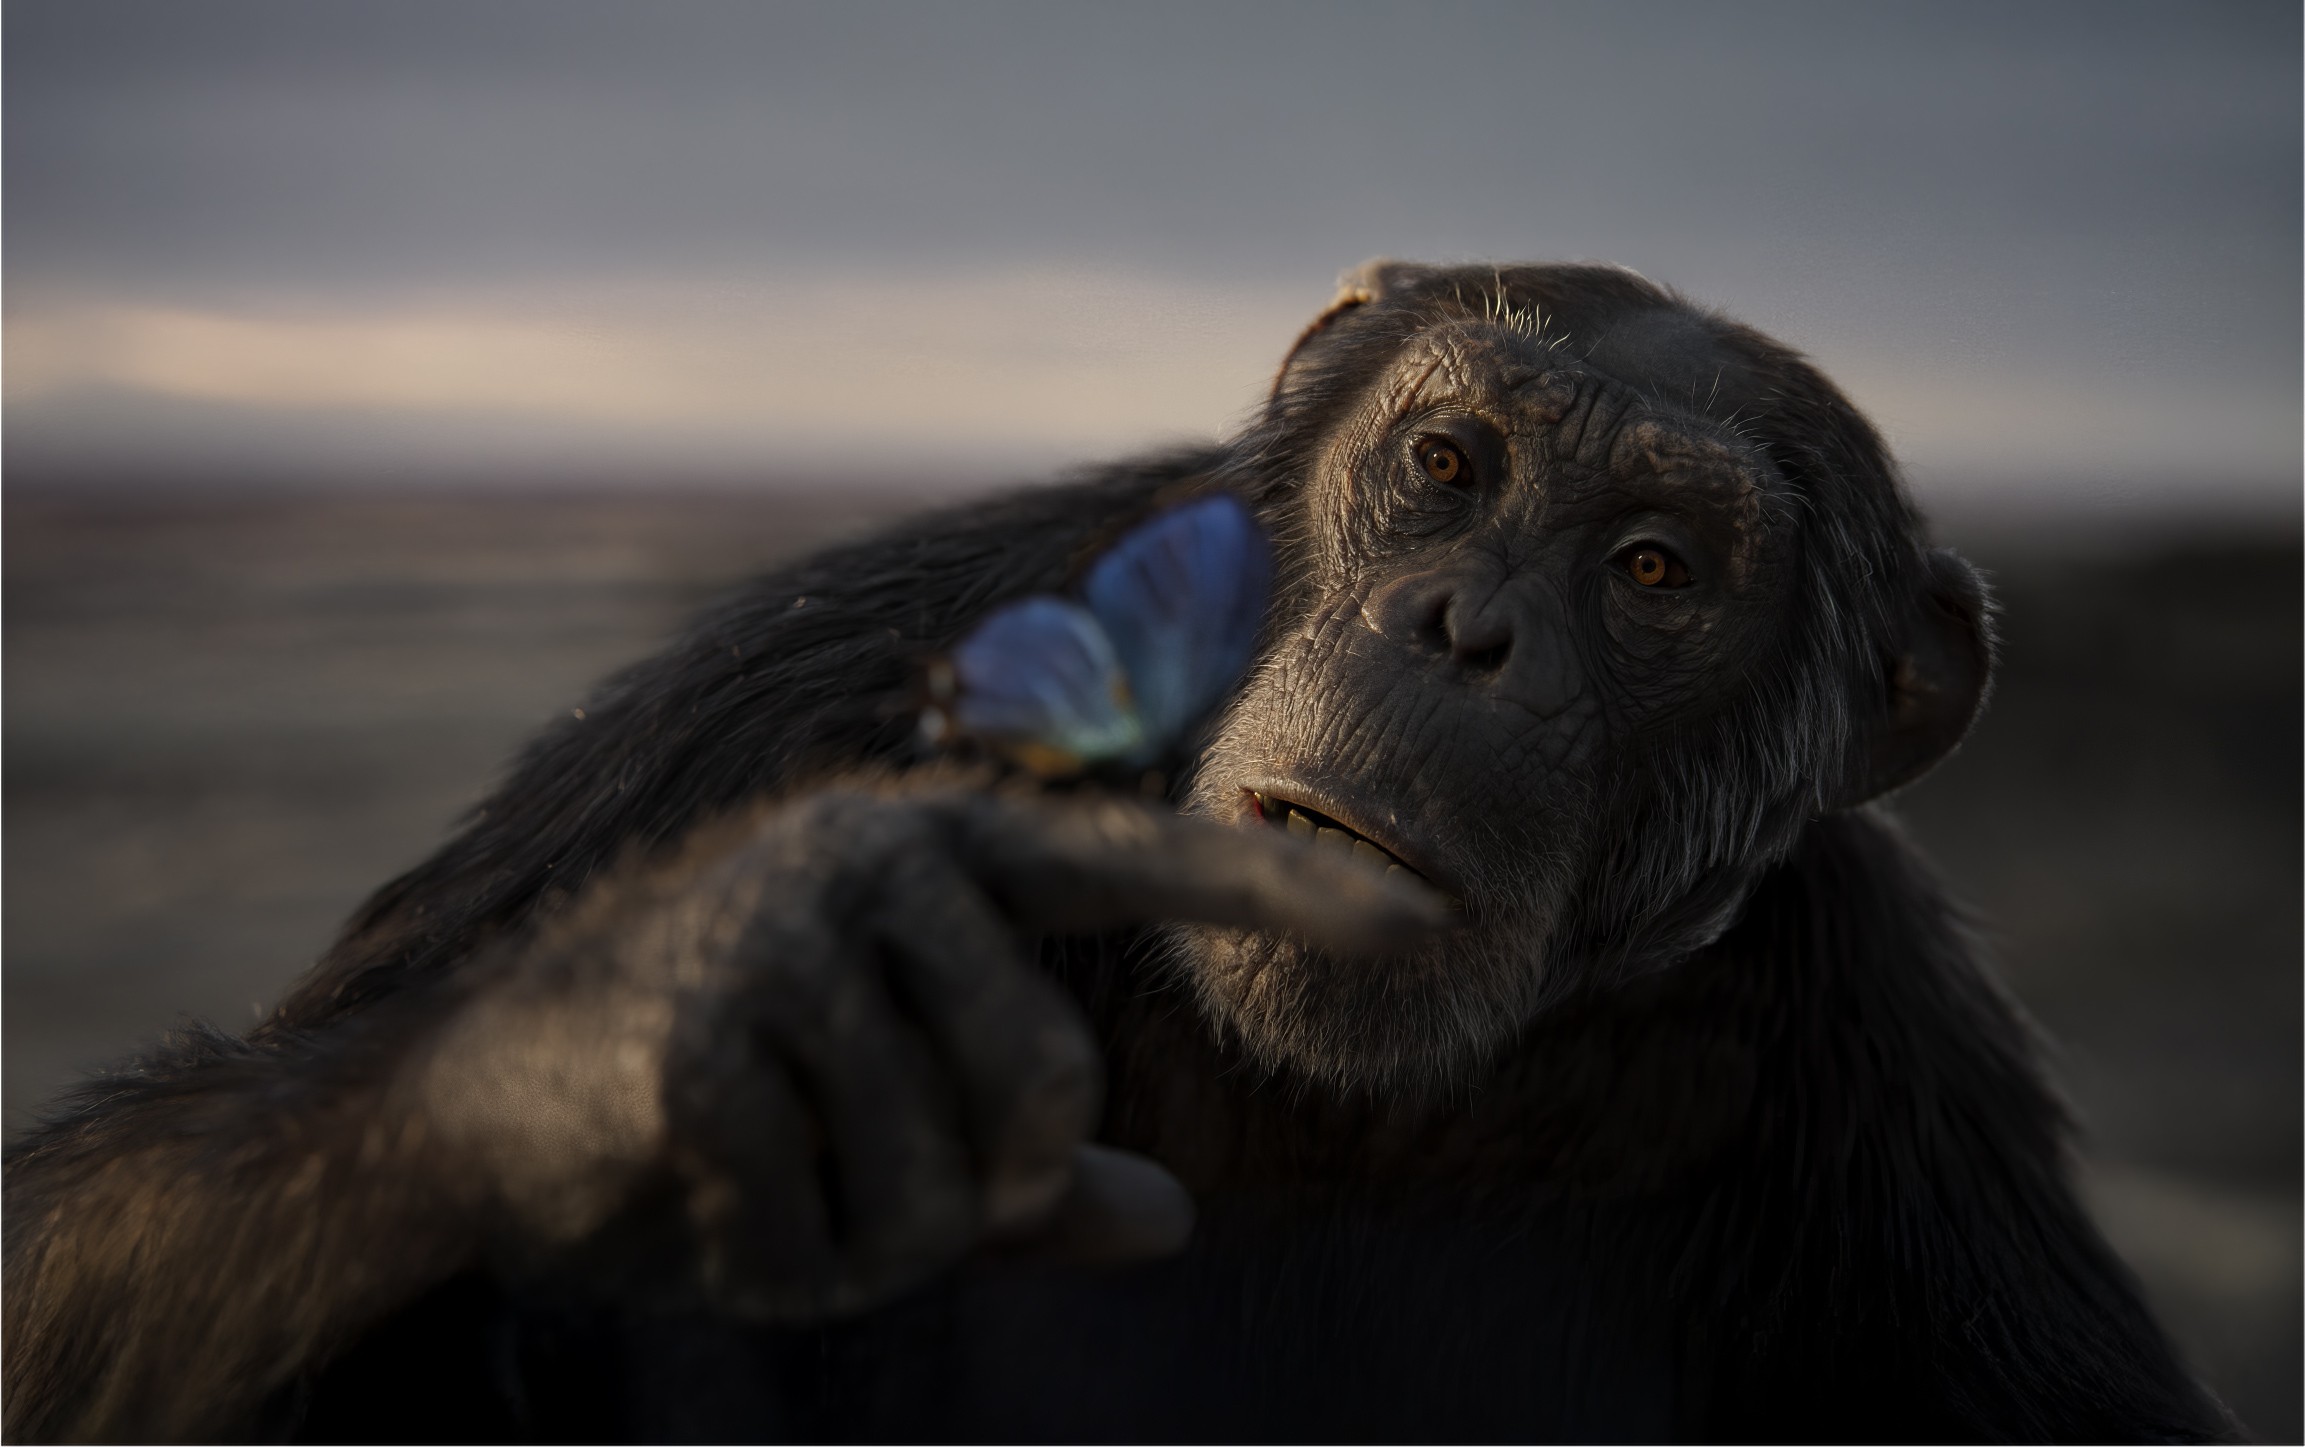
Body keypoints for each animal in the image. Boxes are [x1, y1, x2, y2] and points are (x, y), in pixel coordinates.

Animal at [4, 261, 2236, 1442]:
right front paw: (661, 1014)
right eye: (1447, 466)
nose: (1467, 629)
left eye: (1658, 569)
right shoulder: (786, 693)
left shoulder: (1904, 1077)